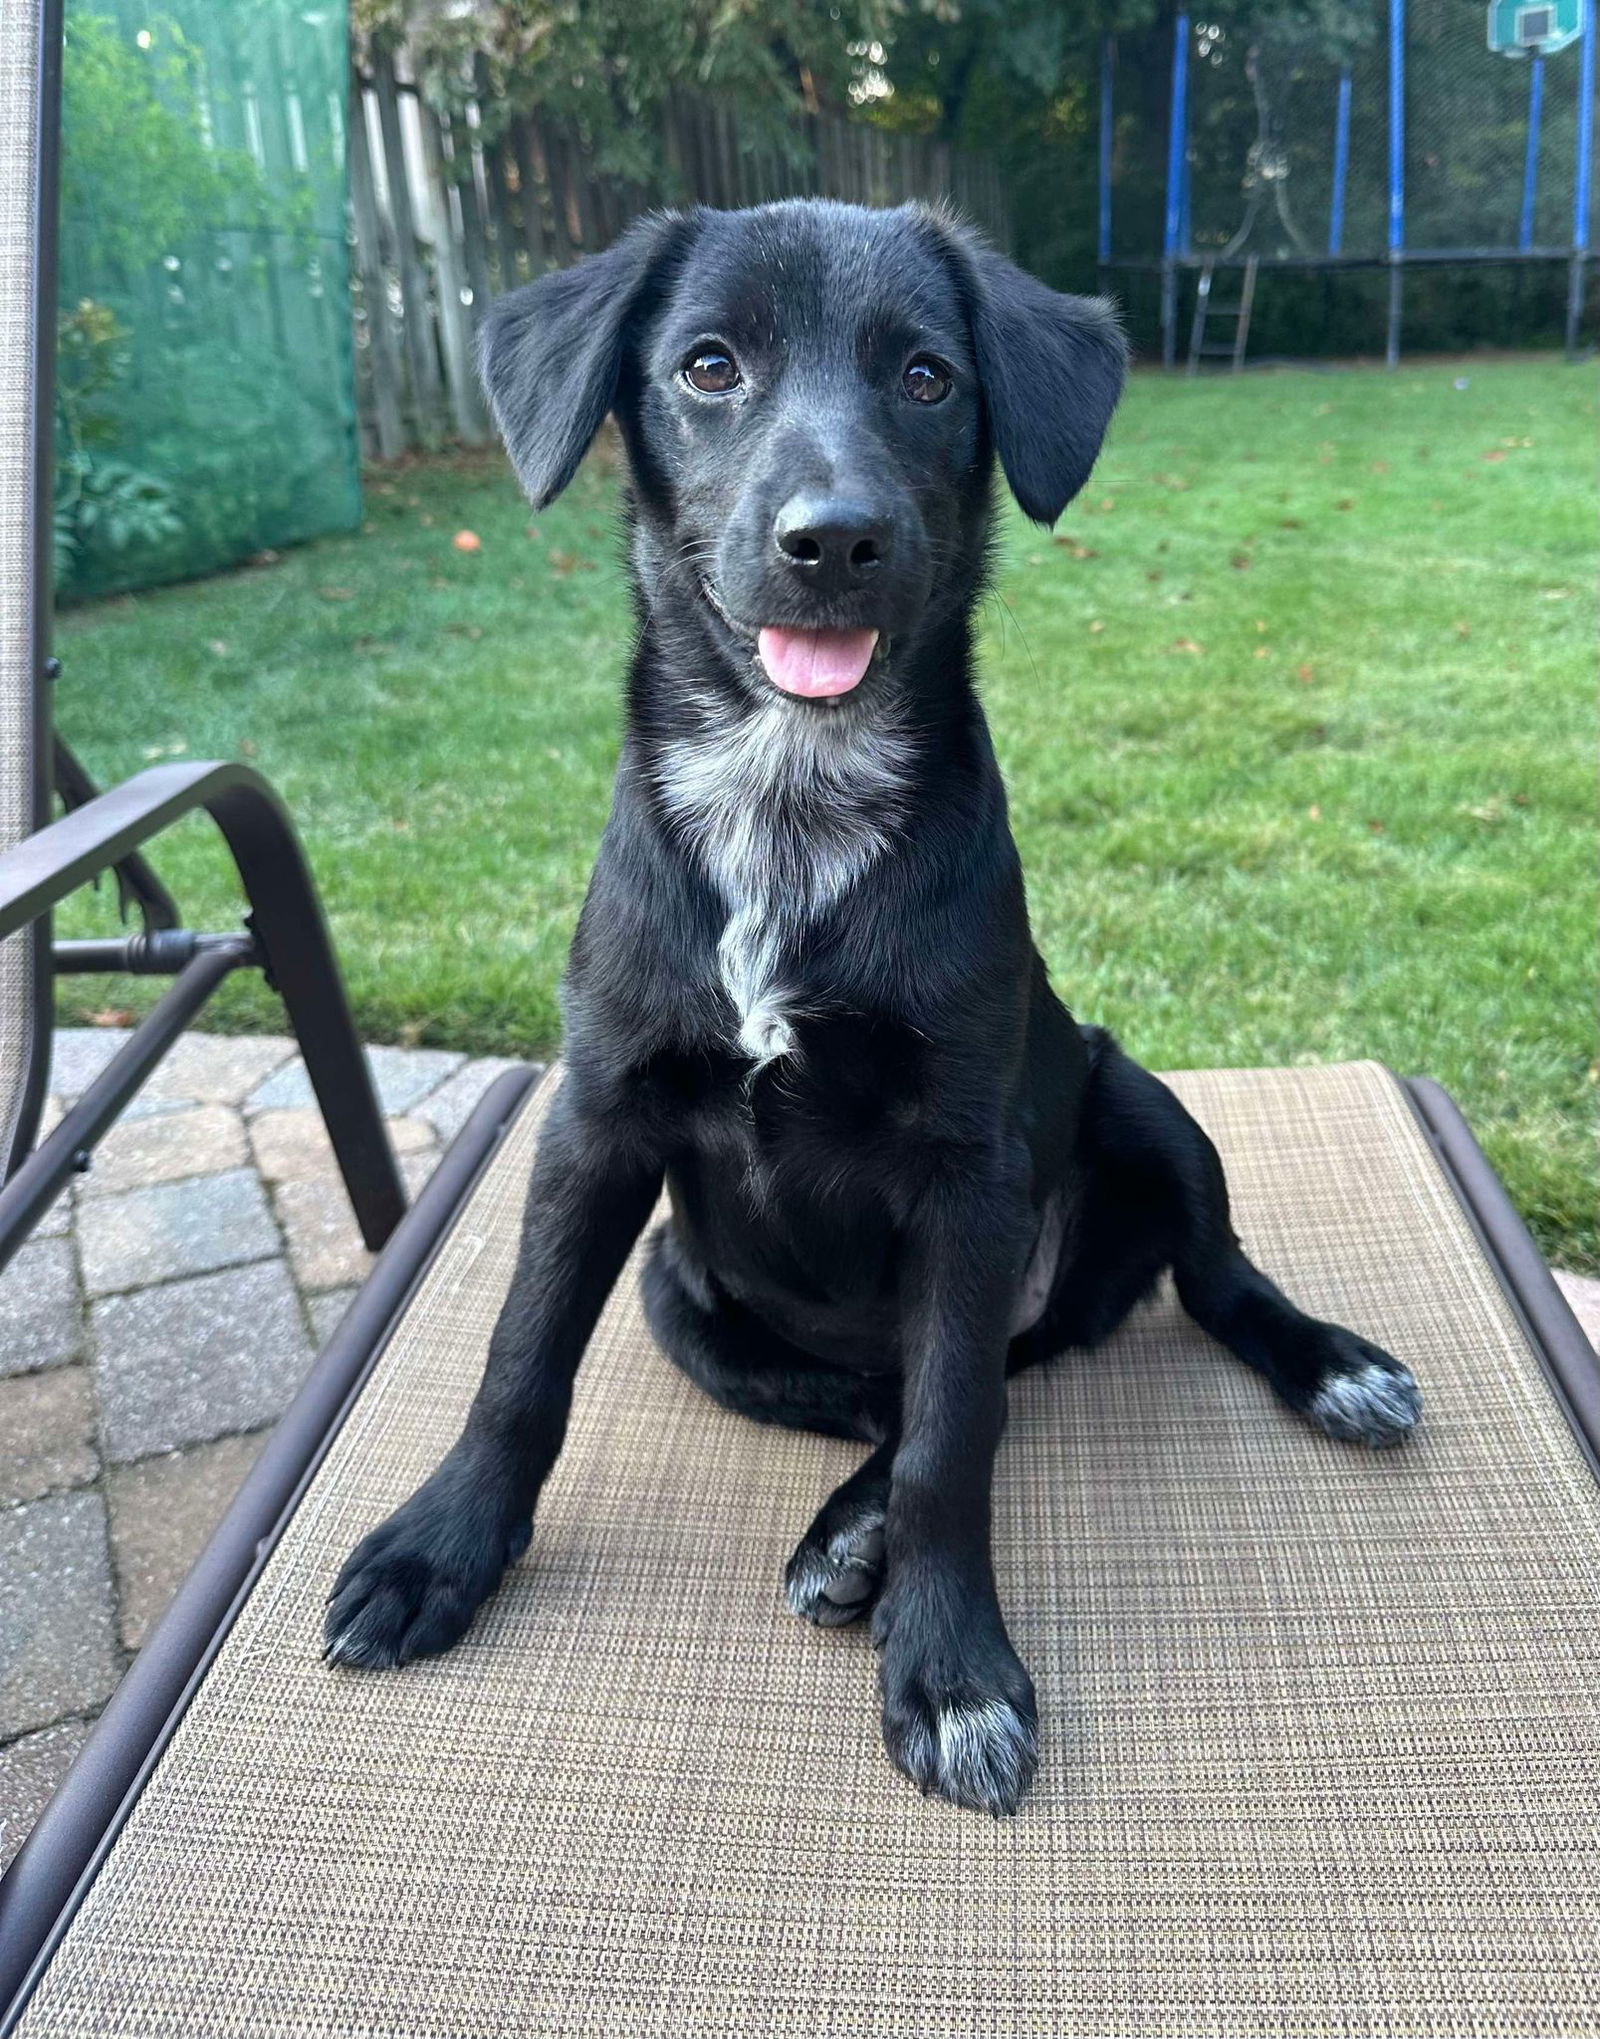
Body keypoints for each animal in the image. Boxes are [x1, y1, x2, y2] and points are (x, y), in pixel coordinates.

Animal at [317, 198, 1418, 1810]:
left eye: (925, 376)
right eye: (708, 365)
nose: (833, 540)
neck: (791, 797)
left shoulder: (970, 1166)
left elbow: (956, 1443)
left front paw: (948, 1663)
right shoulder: (596, 1121)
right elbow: (521, 1358)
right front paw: (436, 1550)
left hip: (1136, 1097)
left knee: (1164, 1299)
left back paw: (1323, 1366)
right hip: (678, 1288)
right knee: (896, 1393)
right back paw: (846, 1522)